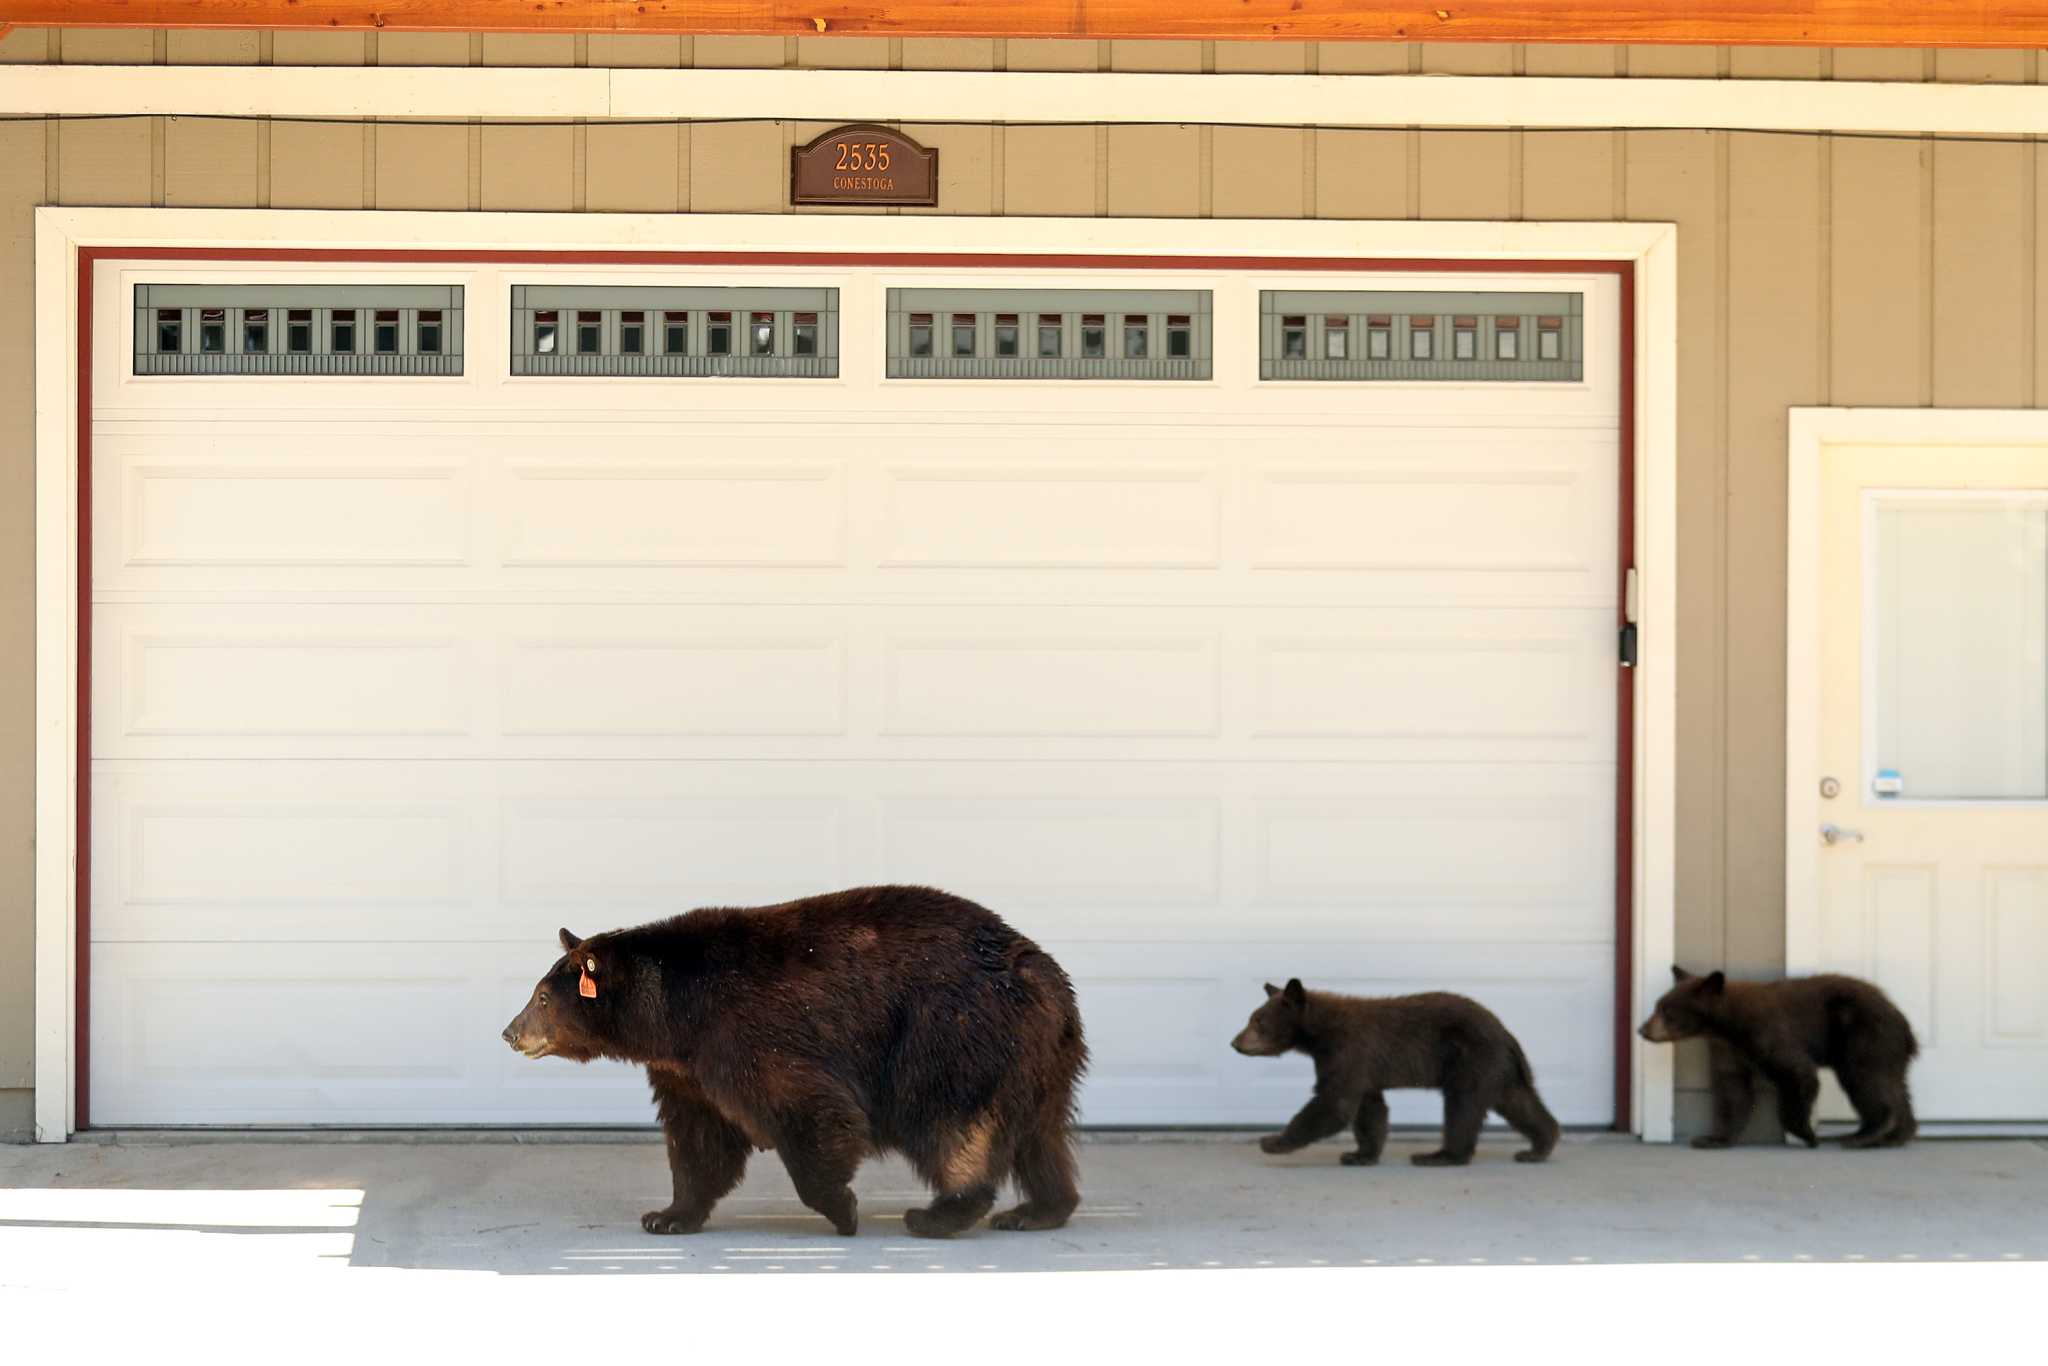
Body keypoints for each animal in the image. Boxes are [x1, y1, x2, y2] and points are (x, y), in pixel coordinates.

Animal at [500, 884, 1087, 1239]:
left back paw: (940, 1212)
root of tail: (1041, 970)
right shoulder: (688, 1071)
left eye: (543, 998)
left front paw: (842, 1209)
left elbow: (810, 1108)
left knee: (951, 1121)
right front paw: (667, 1216)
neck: (678, 1012)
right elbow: (699, 1141)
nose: (510, 1032)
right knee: (1040, 1135)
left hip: (950, 1032)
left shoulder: (746, 1032)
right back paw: (1038, 1209)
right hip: (1040, 1056)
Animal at [1230, 979, 1560, 1167]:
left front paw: (1273, 1141)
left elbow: (1334, 1103)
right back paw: (1539, 1147)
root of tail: (1505, 1032)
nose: (1235, 1043)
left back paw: (1441, 1156)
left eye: (1257, 1021)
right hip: (1497, 1068)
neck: (1321, 1032)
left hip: (1470, 1060)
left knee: (1462, 1107)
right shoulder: (1361, 1067)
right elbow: (1369, 1108)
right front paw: (1360, 1155)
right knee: (1518, 1102)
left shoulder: (1348, 1051)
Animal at [1638, 965, 1918, 1149]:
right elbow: (1732, 1091)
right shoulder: (1728, 1050)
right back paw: (1894, 1136)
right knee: (1895, 1084)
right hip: (1886, 1048)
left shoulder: (1768, 1034)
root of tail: (1905, 1025)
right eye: (1657, 1005)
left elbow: (1798, 1075)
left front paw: (1807, 1134)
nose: (1642, 1029)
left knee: (1865, 1077)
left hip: (1863, 1034)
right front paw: (1712, 1138)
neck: (1728, 1026)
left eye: (1667, 1010)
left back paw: (1865, 1134)